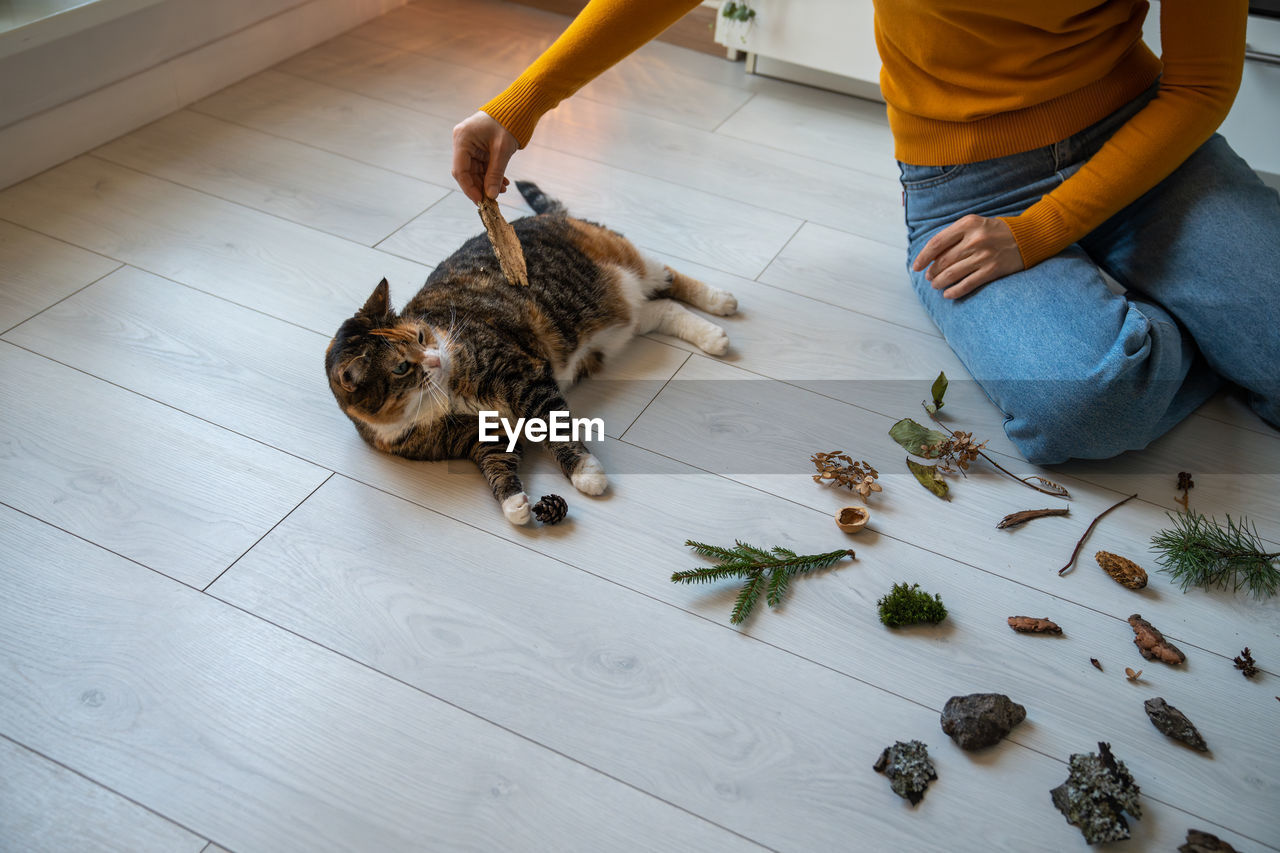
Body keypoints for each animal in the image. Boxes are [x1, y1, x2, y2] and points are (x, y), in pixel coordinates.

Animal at [325, 183, 737, 522]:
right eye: (401, 368)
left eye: (423, 335)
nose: (436, 359)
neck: (438, 402)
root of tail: (549, 215)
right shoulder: (478, 437)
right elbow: (496, 464)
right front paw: (515, 505)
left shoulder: (521, 376)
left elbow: (553, 425)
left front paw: (586, 473)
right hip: (622, 325)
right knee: (663, 309)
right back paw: (709, 334)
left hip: (621, 257)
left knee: (668, 276)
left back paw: (720, 304)